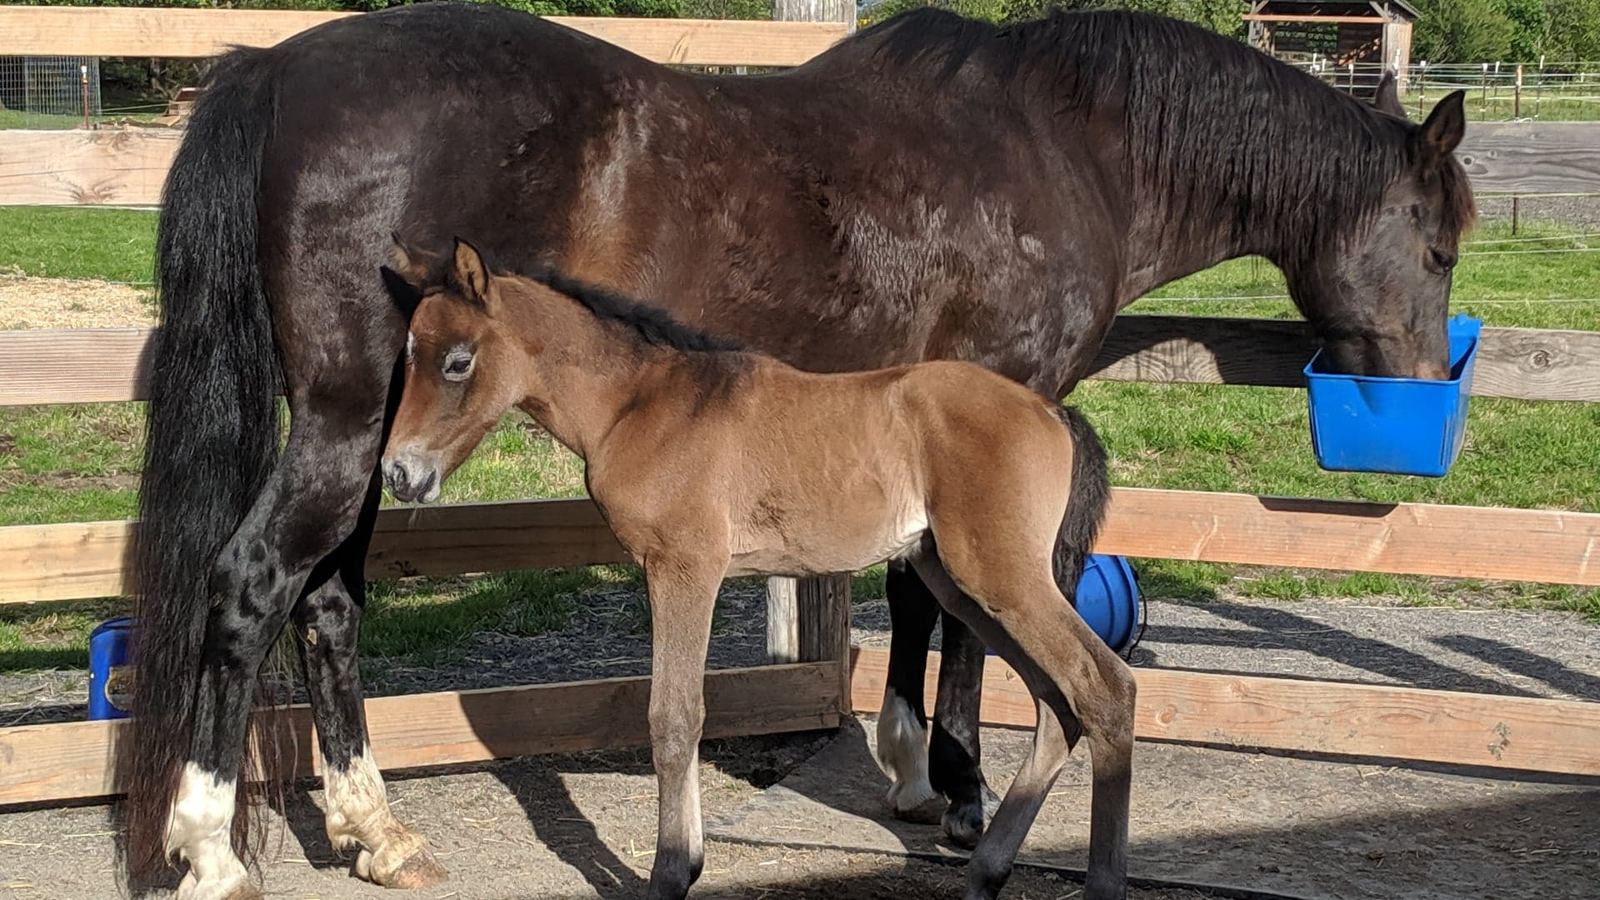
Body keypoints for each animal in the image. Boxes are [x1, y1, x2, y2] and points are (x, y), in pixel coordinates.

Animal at [374, 236, 1128, 899]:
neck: (642, 405)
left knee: (1105, 687)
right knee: (1059, 702)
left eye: (457, 362)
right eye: (408, 357)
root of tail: (1051, 410)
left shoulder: (685, 568)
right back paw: (985, 873)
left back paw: (1099, 882)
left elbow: (674, 718)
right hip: (964, 583)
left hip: (1002, 579)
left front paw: (671, 873)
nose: (399, 473)